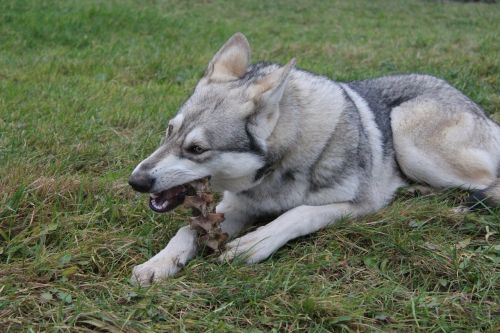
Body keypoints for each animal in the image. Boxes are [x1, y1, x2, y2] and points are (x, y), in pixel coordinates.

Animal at [129, 32, 500, 284]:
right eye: (169, 131)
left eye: (197, 149)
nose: (136, 181)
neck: (277, 172)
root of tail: (476, 107)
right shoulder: (235, 207)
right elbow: (187, 231)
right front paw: (158, 263)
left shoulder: (361, 205)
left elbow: (298, 213)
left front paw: (252, 244)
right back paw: (418, 191)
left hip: (408, 132)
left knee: (488, 182)